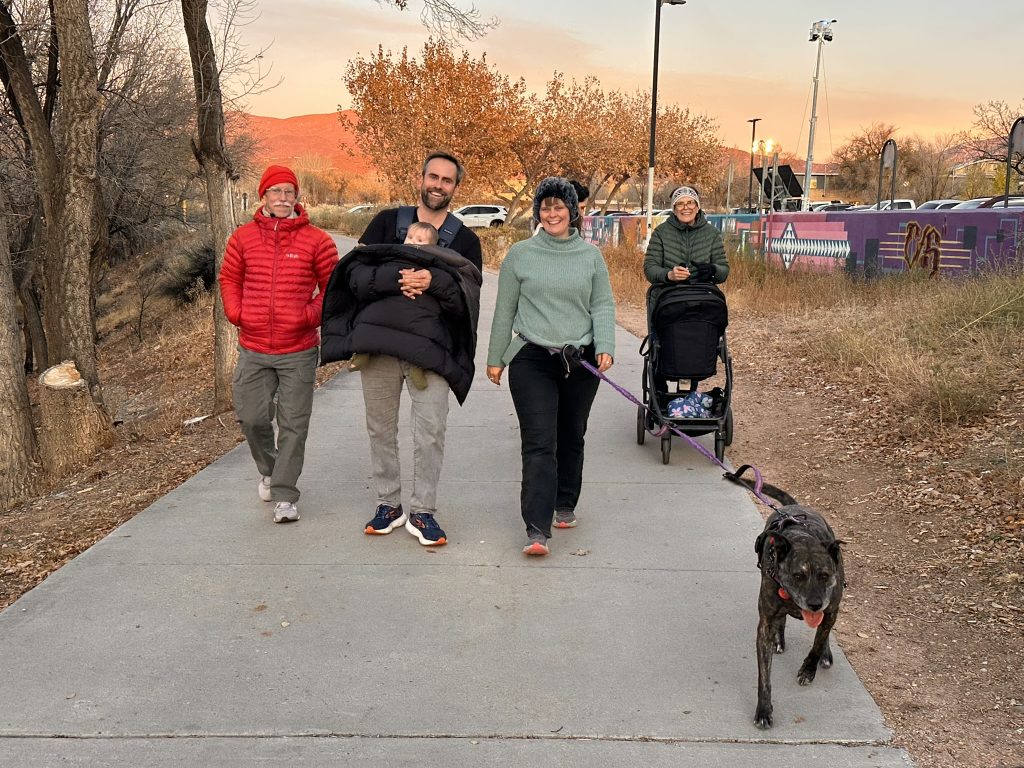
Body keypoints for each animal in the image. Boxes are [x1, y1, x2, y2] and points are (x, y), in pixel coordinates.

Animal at [724, 465, 845, 730]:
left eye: (825, 575)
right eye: (797, 575)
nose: (814, 604)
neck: (802, 538)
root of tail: (794, 508)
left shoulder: (831, 609)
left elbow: (819, 640)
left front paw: (808, 669)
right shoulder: (765, 624)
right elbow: (764, 676)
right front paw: (764, 710)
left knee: (823, 632)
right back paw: (780, 638)